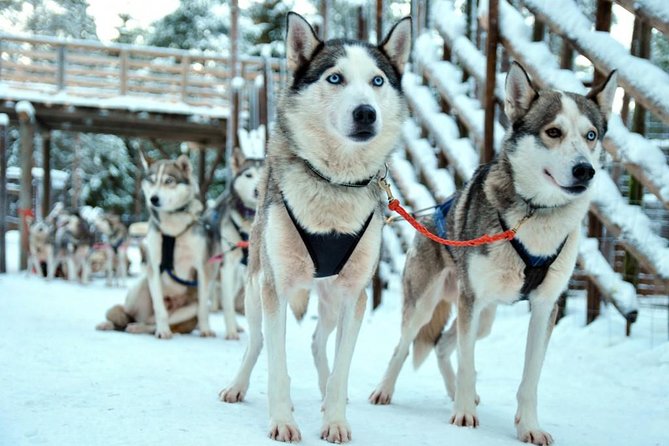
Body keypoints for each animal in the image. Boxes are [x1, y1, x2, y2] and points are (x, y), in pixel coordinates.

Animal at [96, 154, 214, 338]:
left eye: (169, 180)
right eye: (151, 181)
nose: (154, 199)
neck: (172, 230)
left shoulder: (202, 268)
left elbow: (203, 310)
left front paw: (206, 330)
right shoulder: (154, 267)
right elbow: (160, 309)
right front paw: (163, 331)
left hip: (188, 309)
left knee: (151, 325)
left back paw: (140, 328)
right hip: (141, 286)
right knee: (129, 316)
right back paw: (112, 324)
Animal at [217, 13, 410, 442]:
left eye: (377, 81)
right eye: (335, 78)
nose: (366, 113)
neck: (333, 183)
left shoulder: (355, 295)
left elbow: (341, 368)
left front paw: (334, 419)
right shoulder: (275, 288)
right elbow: (276, 366)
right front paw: (282, 420)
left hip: (331, 298)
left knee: (319, 343)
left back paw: (323, 392)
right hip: (255, 288)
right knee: (255, 342)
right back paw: (237, 385)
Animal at [366, 61, 616, 442]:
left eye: (591, 135)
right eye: (553, 132)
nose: (584, 170)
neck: (536, 213)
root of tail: (429, 215)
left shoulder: (545, 307)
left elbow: (530, 379)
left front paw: (529, 427)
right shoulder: (471, 301)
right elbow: (468, 363)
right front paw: (464, 415)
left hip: (483, 316)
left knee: (443, 345)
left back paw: (456, 392)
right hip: (430, 304)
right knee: (406, 345)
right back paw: (387, 390)